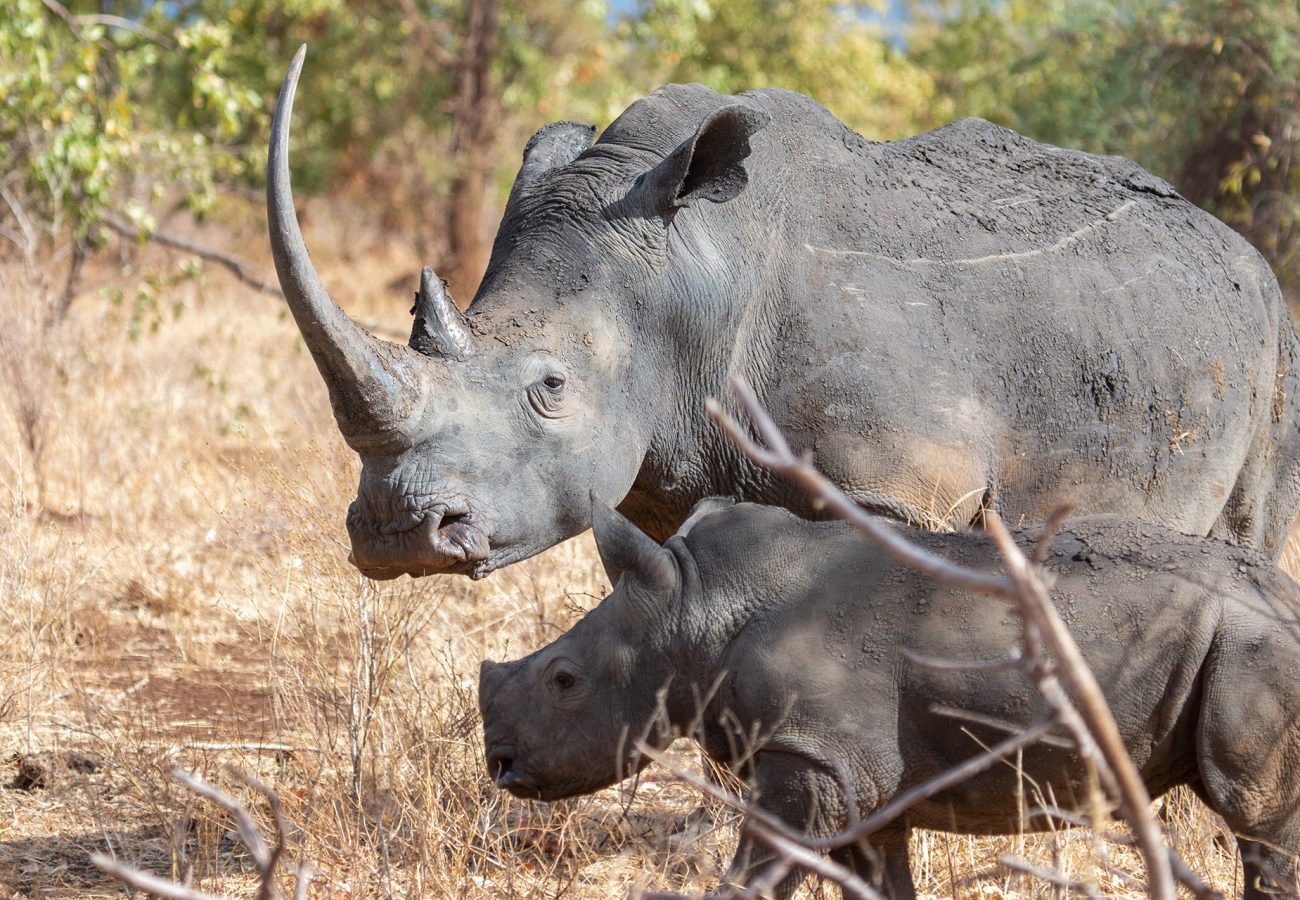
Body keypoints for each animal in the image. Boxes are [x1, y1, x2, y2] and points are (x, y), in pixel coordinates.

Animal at [268, 46, 1300, 580]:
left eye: (551, 388)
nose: (397, 533)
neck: (693, 275)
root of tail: (1240, 250)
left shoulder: (898, 487)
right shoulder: (664, 477)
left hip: (1273, 342)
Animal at [479, 500, 1300, 899]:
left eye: (564, 682)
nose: (500, 765)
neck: (694, 606)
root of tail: (1286, 596)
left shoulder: (812, 755)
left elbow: (756, 874)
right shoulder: (854, 776)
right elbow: (877, 878)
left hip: (1252, 645)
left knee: (1256, 820)